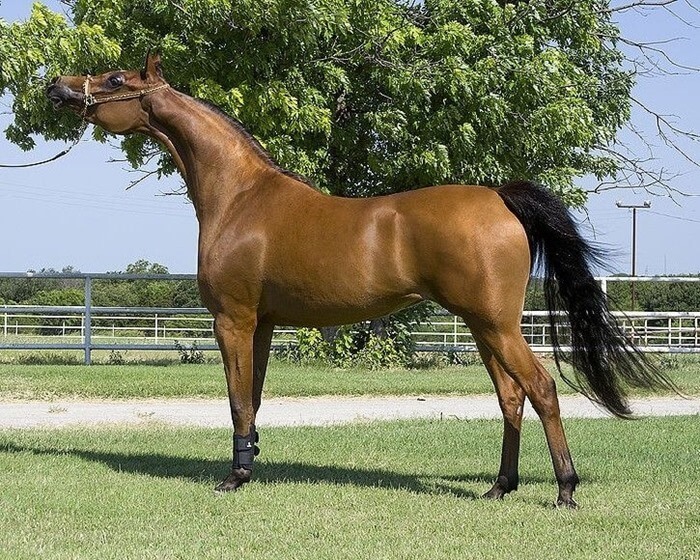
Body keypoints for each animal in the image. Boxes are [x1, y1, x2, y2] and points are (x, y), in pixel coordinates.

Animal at [47, 52, 673, 507]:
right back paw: (499, 487)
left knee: (541, 390)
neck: (240, 197)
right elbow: (254, 397)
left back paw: (565, 490)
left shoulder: (234, 319)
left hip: (497, 324)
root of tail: (499, 197)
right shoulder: (264, 324)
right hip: (482, 327)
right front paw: (248, 466)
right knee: (510, 397)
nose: (56, 87)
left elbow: (237, 399)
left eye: (115, 77)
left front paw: (233, 478)